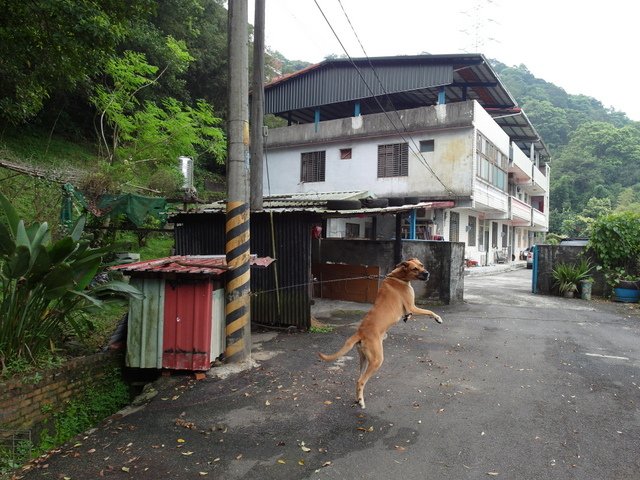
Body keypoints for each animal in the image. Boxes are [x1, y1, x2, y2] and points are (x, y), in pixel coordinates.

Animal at [318, 258, 442, 408]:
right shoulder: (412, 306)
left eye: (422, 265)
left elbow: (411, 314)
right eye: (414, 269)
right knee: (361, 381)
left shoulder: (410, 308)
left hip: (364, 360)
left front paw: (407, 317)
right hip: (377, 360)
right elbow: (429, 311)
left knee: (358, 379)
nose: (427, 273)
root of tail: (360, 333)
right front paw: (438, 318)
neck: (398, 277)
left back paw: (358, 399)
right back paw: (361, 402)